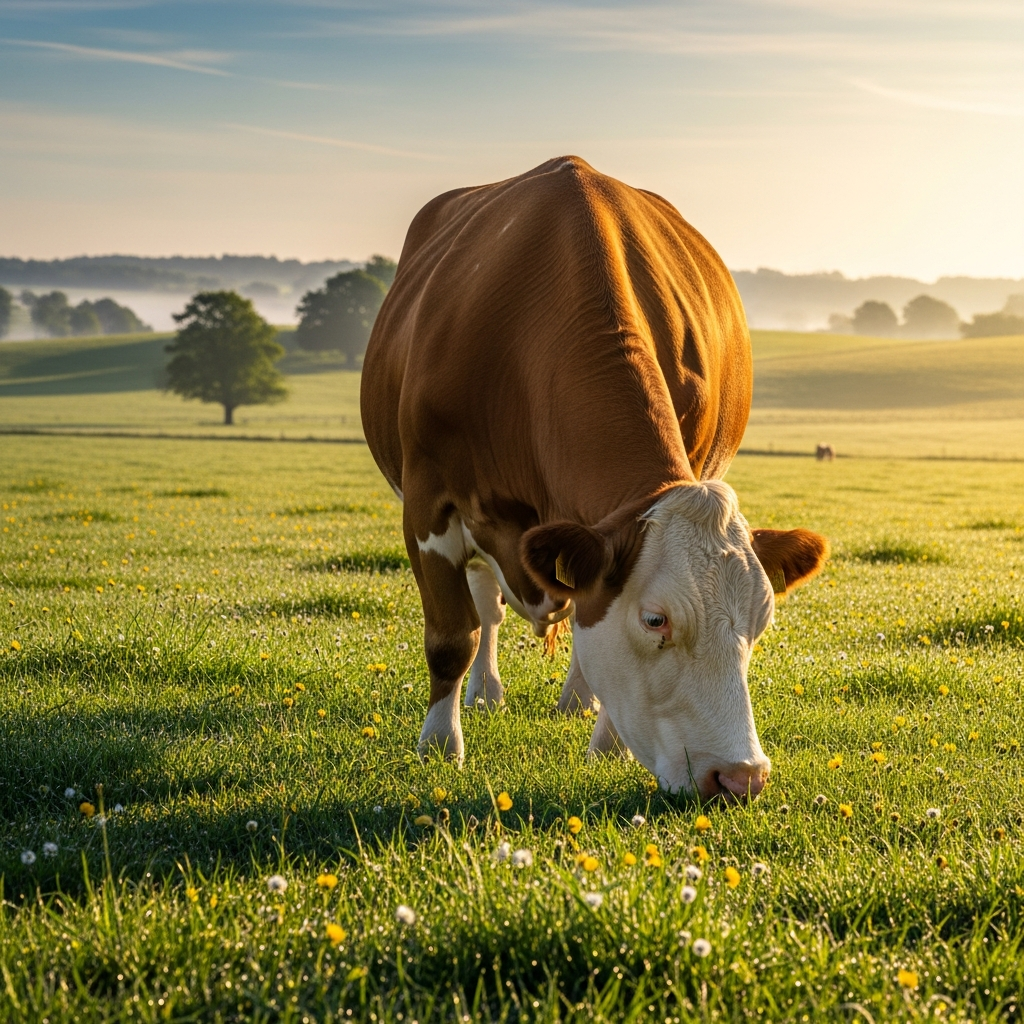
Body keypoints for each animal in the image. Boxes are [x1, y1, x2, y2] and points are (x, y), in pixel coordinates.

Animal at [361, 156, 828, 800]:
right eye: (655, 619)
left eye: (762, 621)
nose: (740, 778)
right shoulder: (428, 503)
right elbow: (454, 636)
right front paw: (439, 747)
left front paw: (606, 746)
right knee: (485, 606)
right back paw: (485, 692)